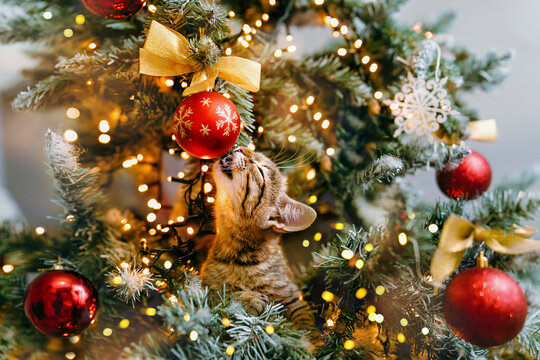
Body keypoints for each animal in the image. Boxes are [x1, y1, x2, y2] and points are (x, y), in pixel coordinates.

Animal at [202, 147, 320, 332]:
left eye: (260, 169)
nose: (242, 148)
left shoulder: (293, 297)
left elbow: (305, 323)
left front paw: (308, 340)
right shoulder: (204, 285)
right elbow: (216, 295)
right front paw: (245, 299)